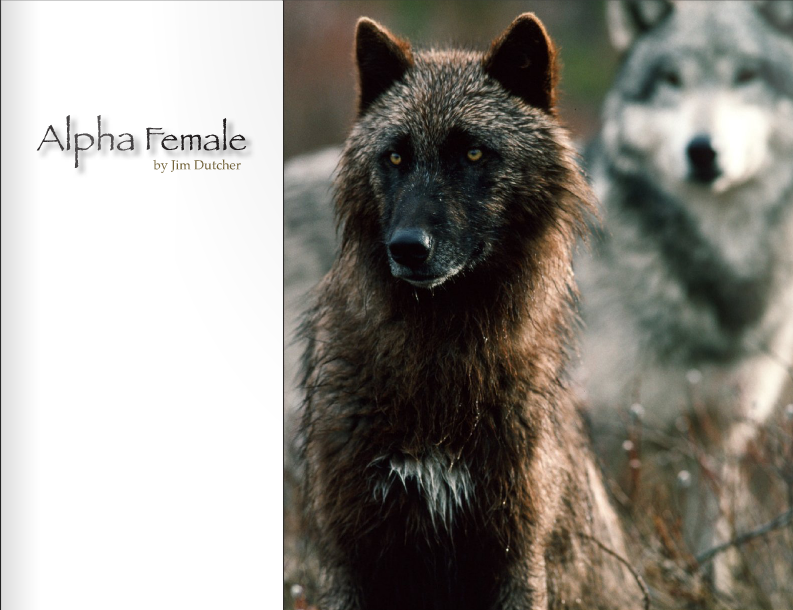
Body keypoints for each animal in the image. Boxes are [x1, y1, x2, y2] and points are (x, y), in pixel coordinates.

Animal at [297, 13, 644, 610]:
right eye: (395, 157)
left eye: (474, 154)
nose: (407, 248)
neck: (439, 359)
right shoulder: (351, 556)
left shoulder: (514, 556)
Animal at [577, 0, 793, 586]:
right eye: (672, 79)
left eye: (746, 75)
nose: (702, 151)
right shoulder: (604, 432)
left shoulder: (718, 438)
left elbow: (712, 557)